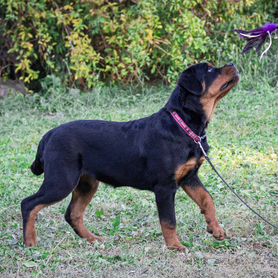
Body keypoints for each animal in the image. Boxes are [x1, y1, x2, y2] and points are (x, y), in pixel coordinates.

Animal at [21, 62, 239, 250]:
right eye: (209, 70)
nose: (233, 64)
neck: (184, 125)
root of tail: (49, 135)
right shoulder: (165, 187)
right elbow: (169, 220)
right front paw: (175, 246)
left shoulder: (189, 177)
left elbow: (207, 199)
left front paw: (216, 229)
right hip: (62, 180)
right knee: (29, 204)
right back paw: (30, 242)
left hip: (86, 182)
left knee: (72, 213)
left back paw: (93, 239)